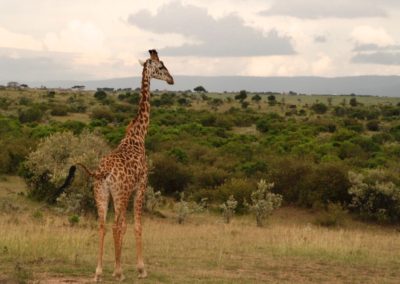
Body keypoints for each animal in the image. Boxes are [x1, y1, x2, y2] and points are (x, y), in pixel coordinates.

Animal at [59, 50, 173, 280]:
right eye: (161, 66)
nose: (171, 79)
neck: (138, 136)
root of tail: (102, 172)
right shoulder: (141, 185)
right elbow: (136, 225)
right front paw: (140, 269)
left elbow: (125, 226)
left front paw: (114, 267)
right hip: (120, 193)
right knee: (115, 225)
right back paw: (119, 273)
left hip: (101, 193)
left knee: (102, 225)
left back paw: (98, 272)